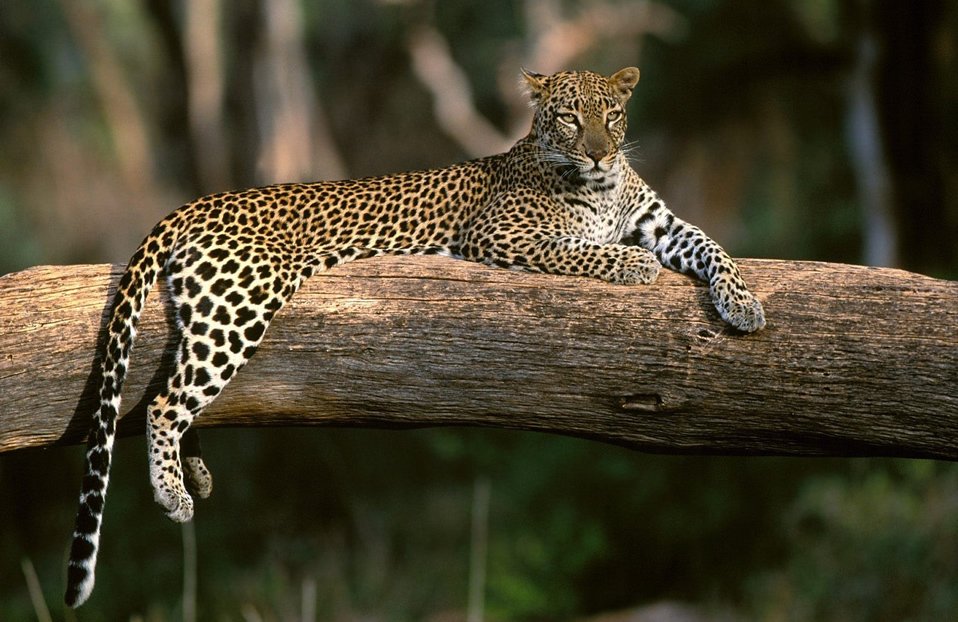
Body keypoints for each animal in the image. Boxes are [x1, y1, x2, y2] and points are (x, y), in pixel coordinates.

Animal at [65, 67, 765, 607]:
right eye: (569, 118)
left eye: (611, 115)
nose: (598, 151)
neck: (601, 185)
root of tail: (196, 203)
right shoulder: (504, 236)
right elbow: (585, 250)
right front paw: (633, 265)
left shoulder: (665, 224)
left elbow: (712, 247)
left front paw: (746, 306)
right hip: (244, 301)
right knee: (163, 400)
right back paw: (174, 495)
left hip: (209, 308)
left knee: (178, 384)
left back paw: (197, 474)